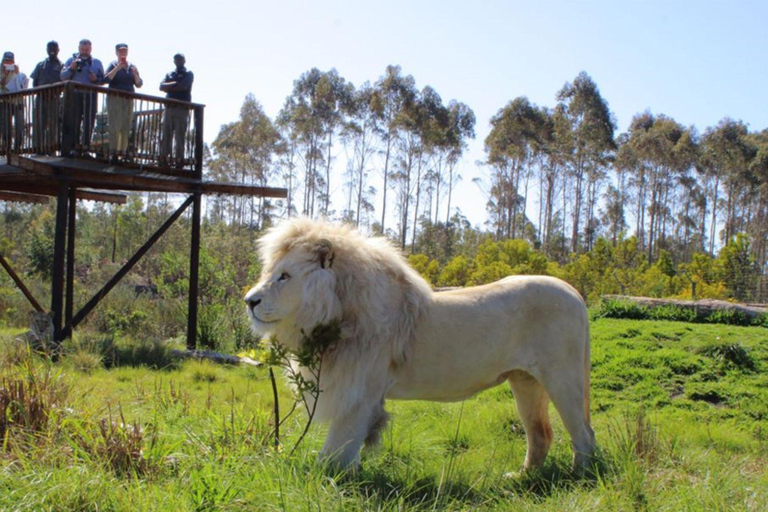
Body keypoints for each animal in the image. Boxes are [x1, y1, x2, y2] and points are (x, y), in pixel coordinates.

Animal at [243, 218, 596, 474]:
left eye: (284, 276)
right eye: (270, 273)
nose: (249, 301)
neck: (339, 310)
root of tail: (574, 293)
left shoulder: (358, 392)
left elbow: (338, 447)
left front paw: (326, 478)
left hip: (562, 378)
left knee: (584, 433)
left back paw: (580, 476)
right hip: (525, 381)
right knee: (541, 433)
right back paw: (522, 477)